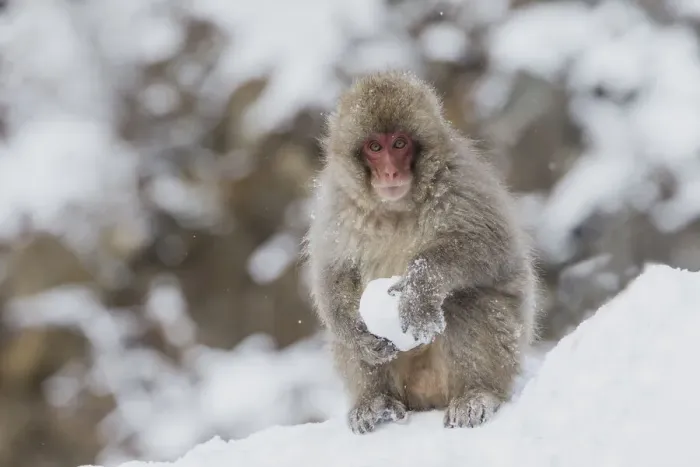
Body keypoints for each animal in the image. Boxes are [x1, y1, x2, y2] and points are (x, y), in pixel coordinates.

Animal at [303, 70, 539, 434]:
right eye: (375, 147)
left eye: (400, 144)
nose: (390, 172)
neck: (395, 208)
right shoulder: (336, 205)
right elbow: (333, 272)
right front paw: (358, 333)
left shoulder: (461, 183)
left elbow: (492, 246)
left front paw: (420, 289)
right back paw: (375, 402)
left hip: (504, 355)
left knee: (466, 300)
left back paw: (477, 394)